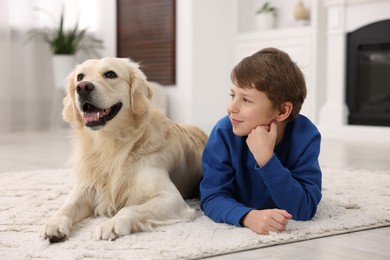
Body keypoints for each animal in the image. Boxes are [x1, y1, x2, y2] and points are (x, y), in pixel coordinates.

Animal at [41, 58, 209, 243]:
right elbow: (67, 205)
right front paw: (54, 223)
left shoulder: (171, 198)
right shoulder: (86, 188)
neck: (111, 144)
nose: (83, 87)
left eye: (110, 74)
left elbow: (130, 209)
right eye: (80, 77)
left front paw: (111, 224)